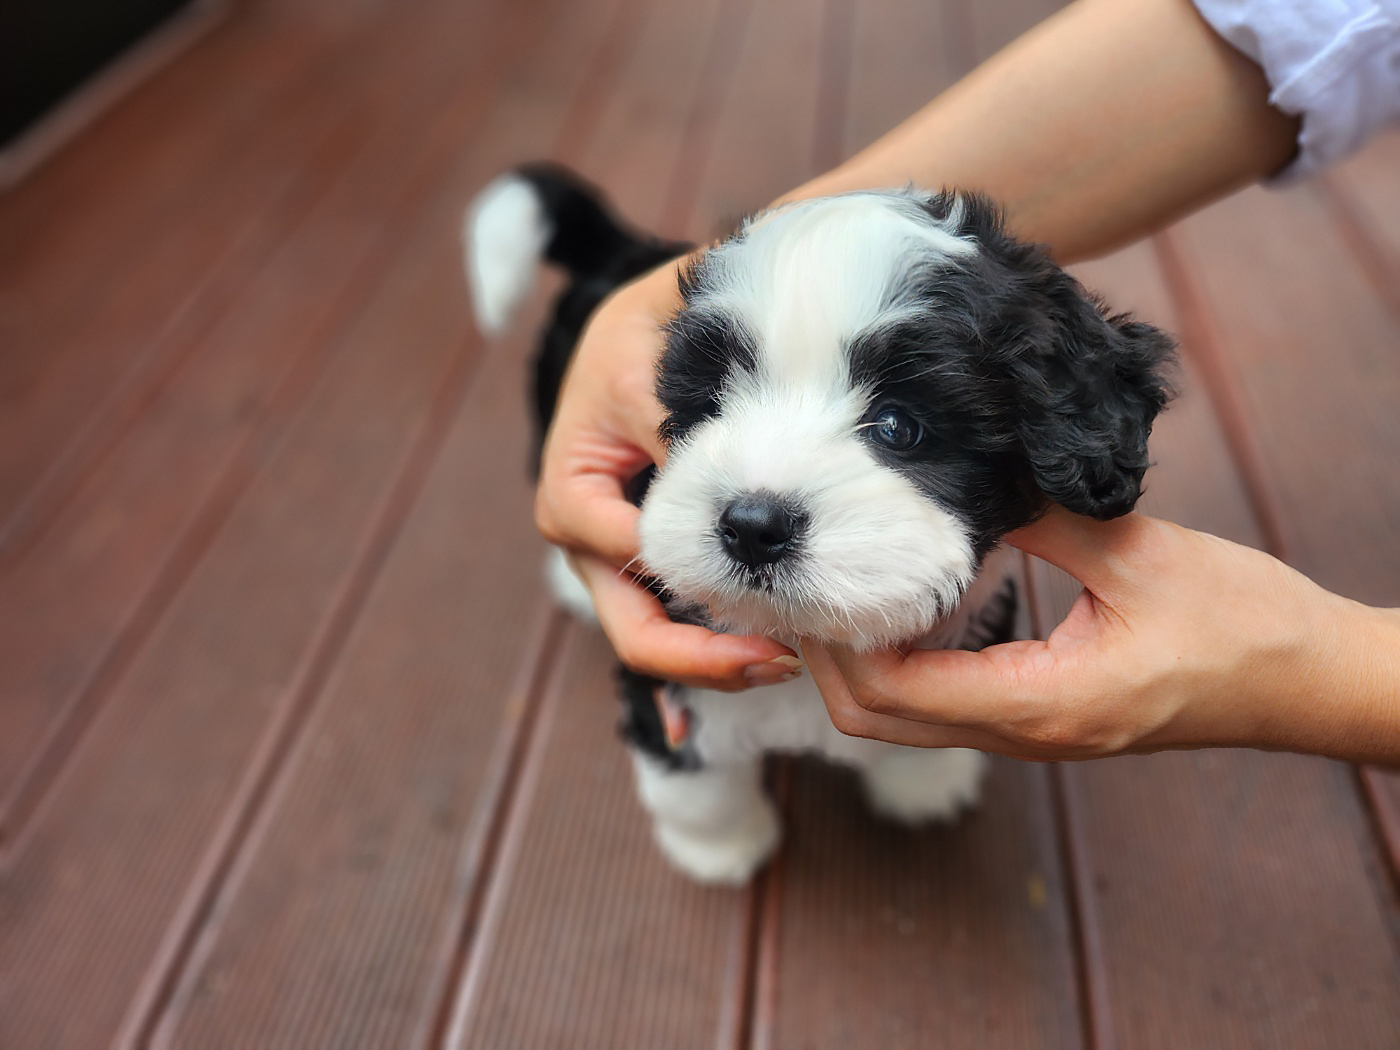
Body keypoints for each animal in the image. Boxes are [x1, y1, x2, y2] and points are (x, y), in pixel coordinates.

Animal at [464, 164, 1174, 883]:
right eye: (711, 402)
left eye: (898, 426)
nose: (752, 525)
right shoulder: (668, 676)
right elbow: (693, 777)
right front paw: (720, 847)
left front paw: (927, 781)